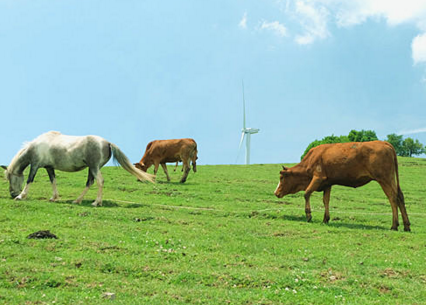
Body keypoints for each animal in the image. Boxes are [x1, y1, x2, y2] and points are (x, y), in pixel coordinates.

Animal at [1, 129, 155, 205]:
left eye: (10, 178)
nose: (12, 194)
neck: (36, 146)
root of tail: (107, 143)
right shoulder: (49, 167)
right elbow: (53, 181)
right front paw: (54, 197)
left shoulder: (35, 165)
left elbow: (30, 180)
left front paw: (21, 196)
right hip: (92, 169)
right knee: (90, 182)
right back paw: (77, 200)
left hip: (94, 167)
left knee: (99, 181)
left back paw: (96, 202)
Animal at [274, 140, 412, 230]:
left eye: (282, 178)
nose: (276, 192)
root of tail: (385, 143)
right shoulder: (327, 183)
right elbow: (326, 200)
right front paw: (325, 219)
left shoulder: (318, 178)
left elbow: (307, 193)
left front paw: (308, 216)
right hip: (391, 179)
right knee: (400, 197)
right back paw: (406, 226)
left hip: (384, 179)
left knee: (392, 198)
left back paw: (394, 225)